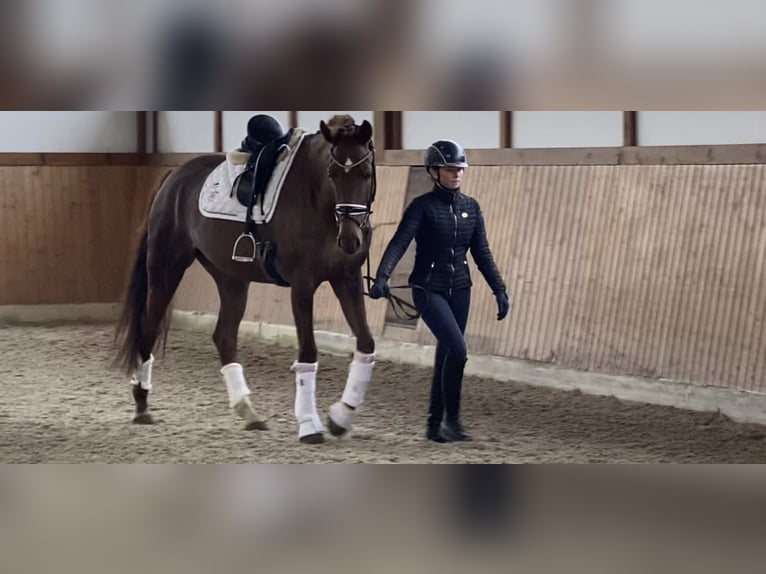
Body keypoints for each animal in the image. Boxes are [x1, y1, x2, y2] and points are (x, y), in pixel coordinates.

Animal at [115, 113, 378, 446]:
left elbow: (366, 344)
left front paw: (340, 417)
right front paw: (309, 425)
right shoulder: (302, 286)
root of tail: (174, 176)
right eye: (332, 174)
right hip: (166, 268)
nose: (350, 240)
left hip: (230, 278)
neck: (316, 200)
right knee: (147, 331)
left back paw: (248, 411)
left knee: (224, 336)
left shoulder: (347, 279)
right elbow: (308, 353)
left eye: (366, 173)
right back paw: (141, 405)